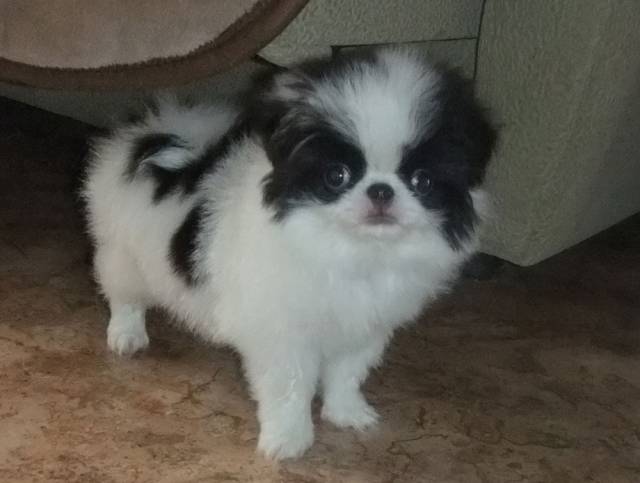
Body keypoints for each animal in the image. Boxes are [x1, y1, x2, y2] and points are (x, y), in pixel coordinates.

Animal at [83, 47, 496, 459]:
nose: (381, 190)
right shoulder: (283, 335)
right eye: (337, 176)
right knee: (124, 297)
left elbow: (347, 374)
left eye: (422, 181)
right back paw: (127, 336)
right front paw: (288, 440)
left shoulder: (364, 328)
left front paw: (346, 413)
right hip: (123, 255)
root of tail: (161, 132)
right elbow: (290, 389)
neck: (353, 252)